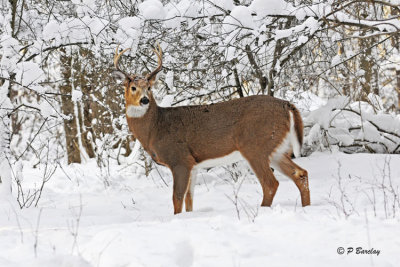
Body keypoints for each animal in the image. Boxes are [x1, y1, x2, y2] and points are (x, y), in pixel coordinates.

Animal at [114, 45, 310, 215]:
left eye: (149, 87)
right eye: (133, 87)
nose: (144, 100)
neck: (156, 128)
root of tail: (287, 105)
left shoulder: (180, 159)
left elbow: (177, 198)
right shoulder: (193, 165)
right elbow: (189, 199)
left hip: (255, 146)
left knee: (270, 184)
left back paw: (262, 210)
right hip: (276, 148)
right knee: (301, 174)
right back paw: (306, 207)